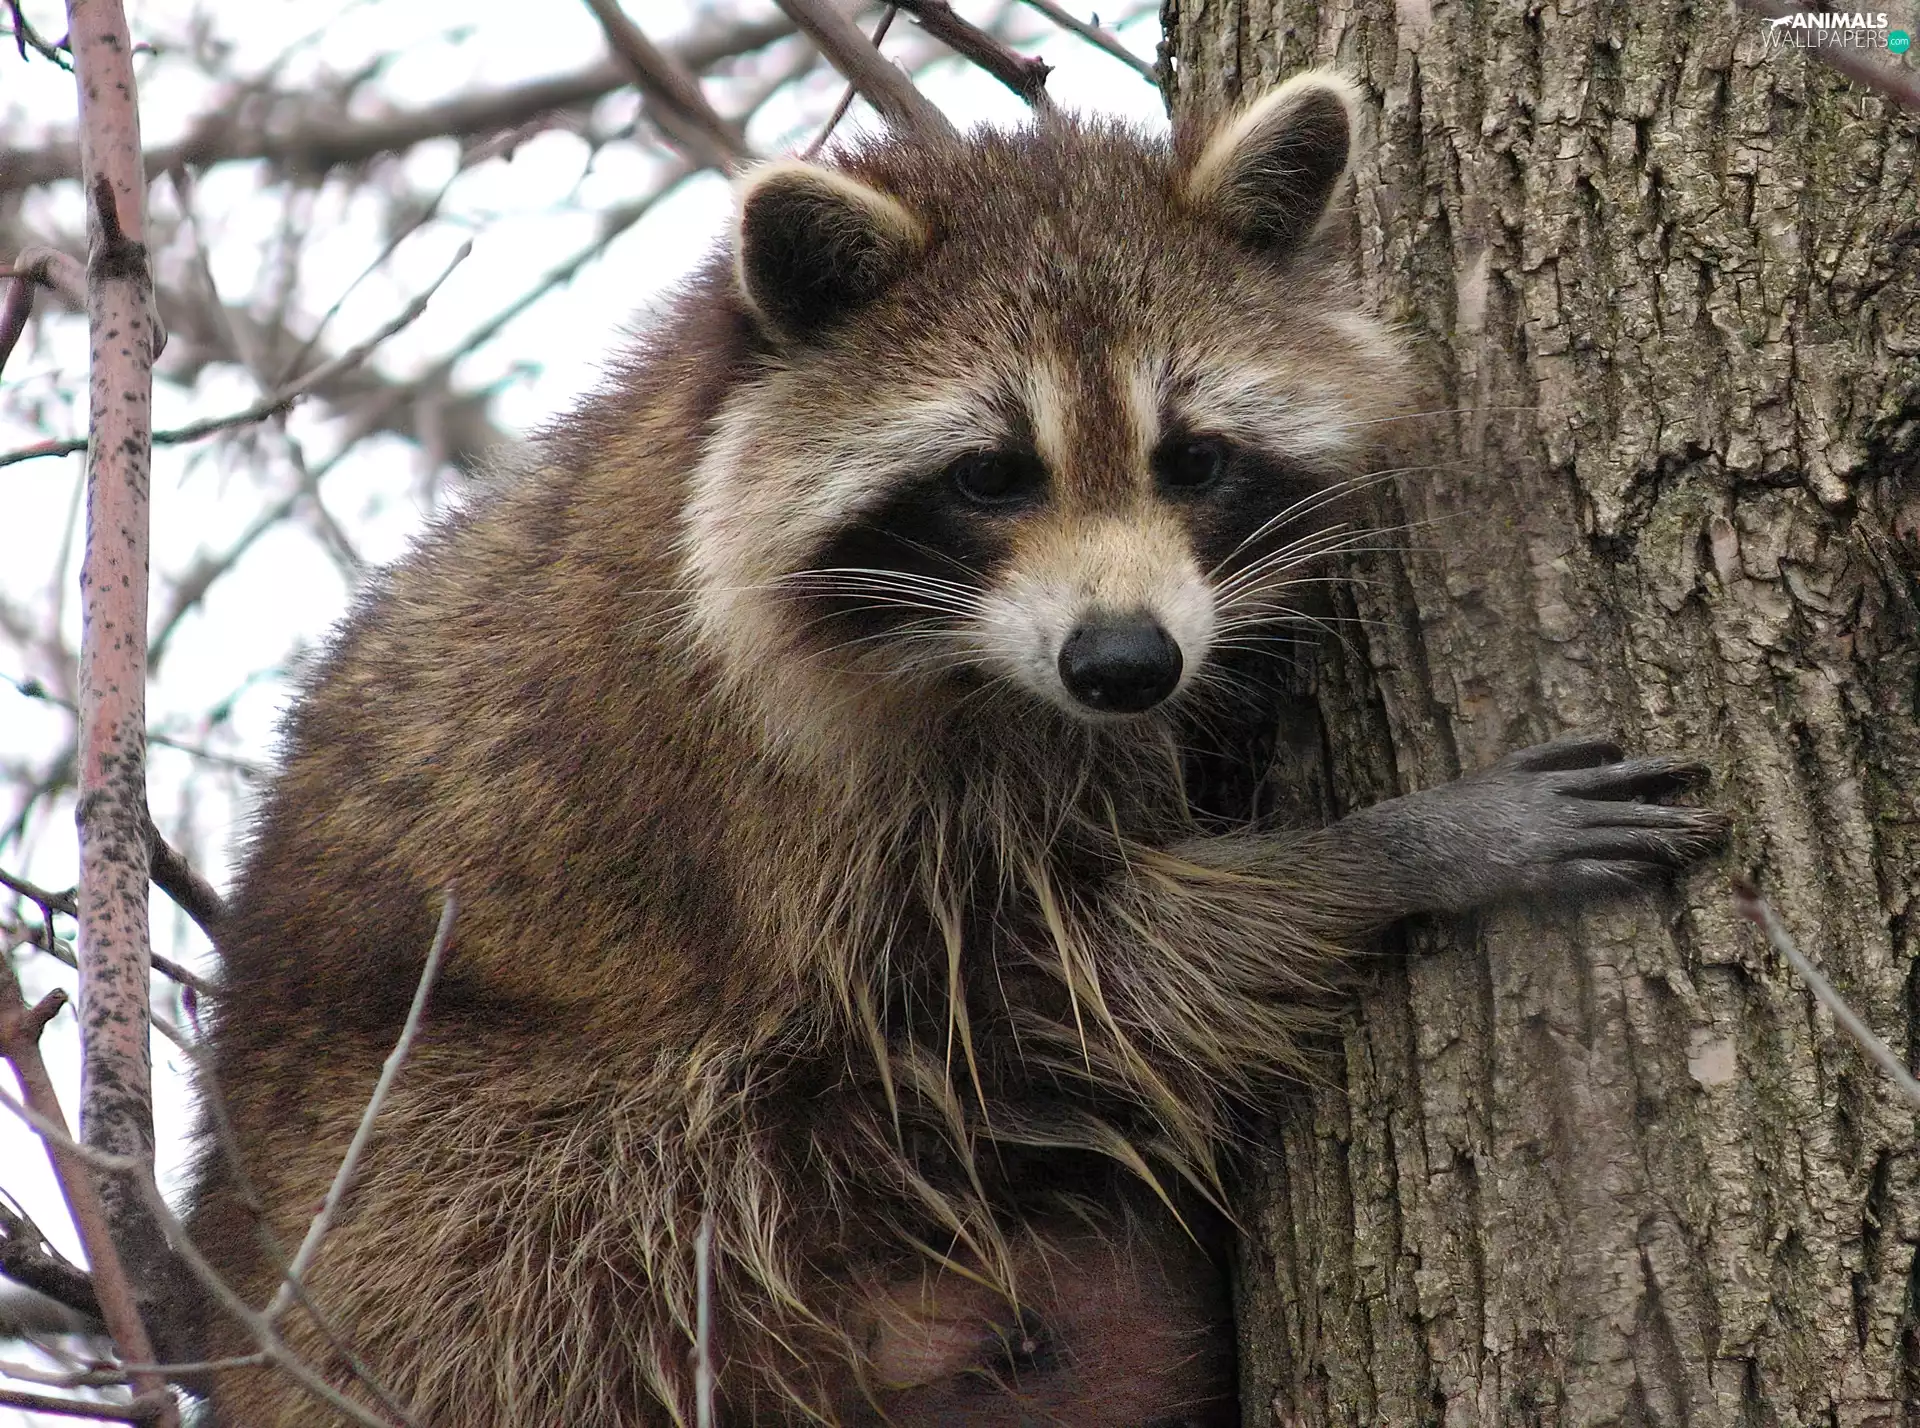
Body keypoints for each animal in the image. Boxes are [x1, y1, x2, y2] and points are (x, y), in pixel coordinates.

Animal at [186, 71, 1724, 1426]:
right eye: (992, 476)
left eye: (1193, 460)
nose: (1128, 665)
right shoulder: (799, 813)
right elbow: (1023, 1003)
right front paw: (1394, 852)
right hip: (453, 1208)